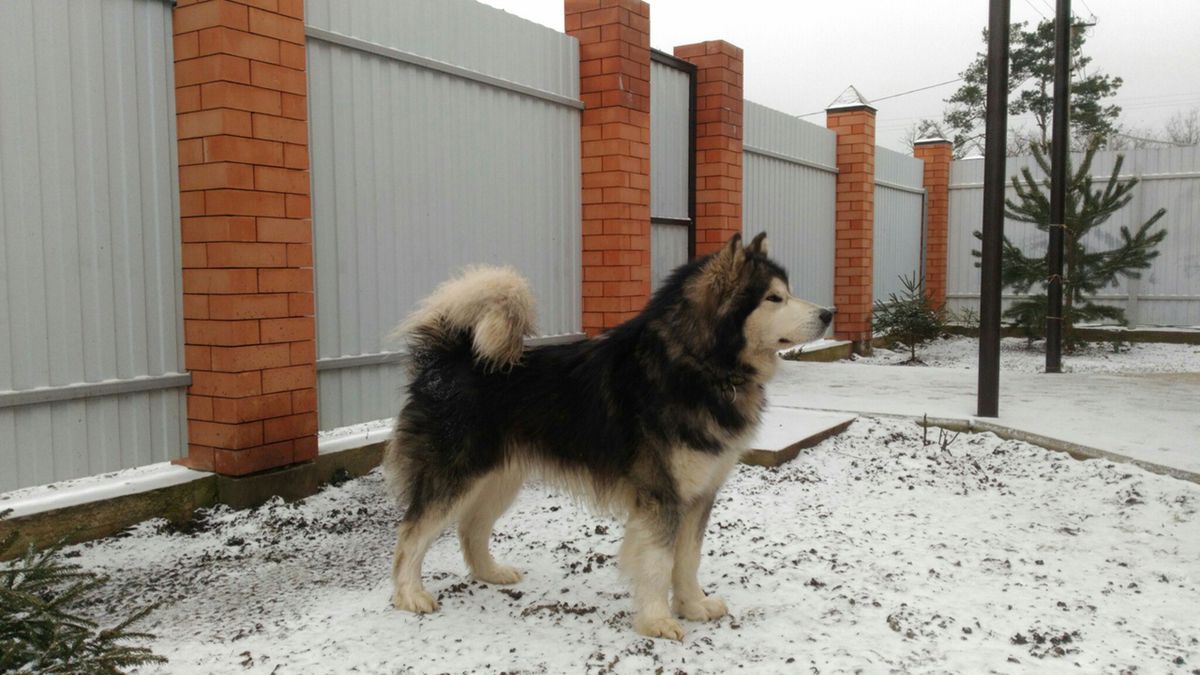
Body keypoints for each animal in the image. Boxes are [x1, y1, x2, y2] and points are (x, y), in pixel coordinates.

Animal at [384, 230, 835, 634]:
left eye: (788, 292)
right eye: (774, 298)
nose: (828, 314)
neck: (700, 364)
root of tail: (450, 358)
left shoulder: (699, 494)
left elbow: (688, 559)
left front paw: (693, 606)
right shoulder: (661, 494)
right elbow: (659, 562)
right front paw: (657, 622)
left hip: (499, 479)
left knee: (470, 528)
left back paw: (490, 573)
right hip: (454, 478)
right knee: (411, 534)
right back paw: (409, 595)